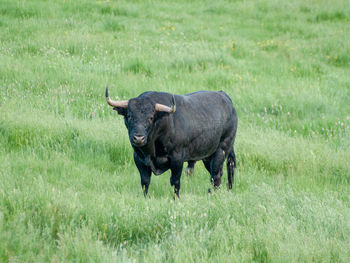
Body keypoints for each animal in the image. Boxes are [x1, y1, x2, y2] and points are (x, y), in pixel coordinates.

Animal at [106, 88, 238, 198]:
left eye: (150, 117)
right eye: (129, 116)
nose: (139, 138)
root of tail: (224, 96)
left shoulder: (177, 158)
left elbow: (175, 181)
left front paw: (176, 198)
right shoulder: (139, 159)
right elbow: (145, 181)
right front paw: (145, 198)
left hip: (222, 149)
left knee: (216, 174)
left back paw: (210, 193)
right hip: (207, 155)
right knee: (219, 172)